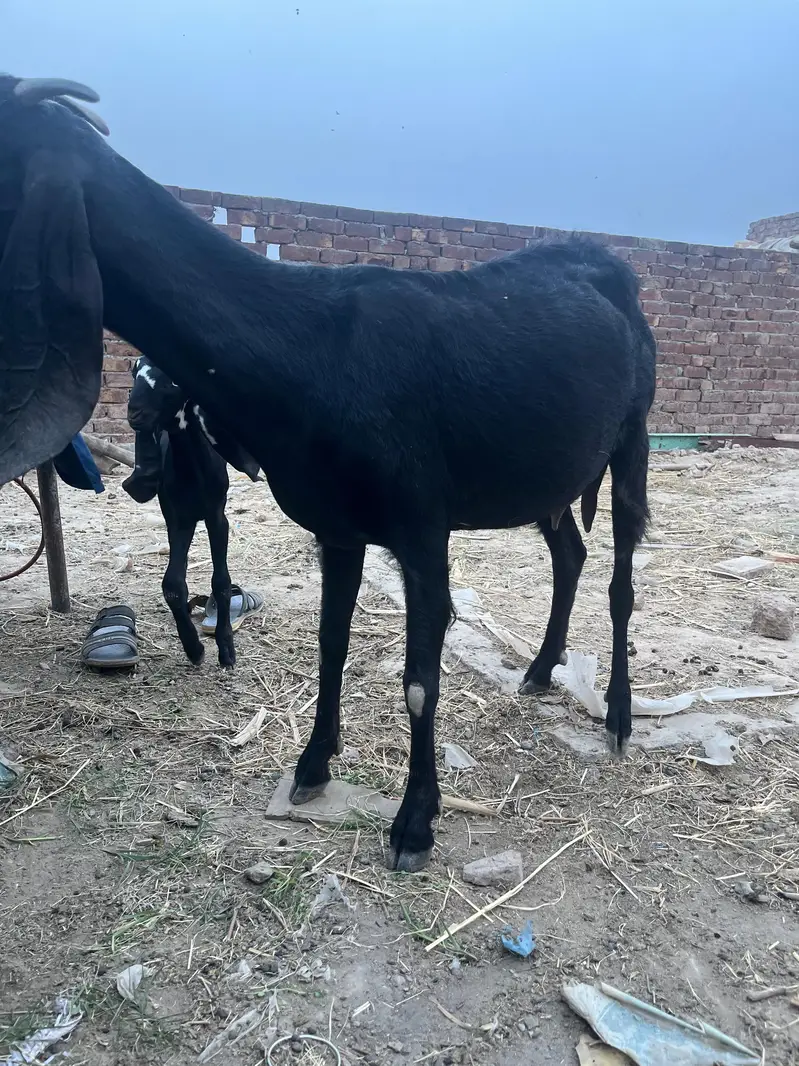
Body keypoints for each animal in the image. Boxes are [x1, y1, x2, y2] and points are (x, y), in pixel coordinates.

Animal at [122, 355, 260, 667]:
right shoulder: (177, 519)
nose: (135, 413)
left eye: (173, 378)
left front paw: (226, 649)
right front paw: (194, 648)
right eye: (134, 372)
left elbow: (221, 582)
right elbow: (173, 584)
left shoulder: (217, 517)